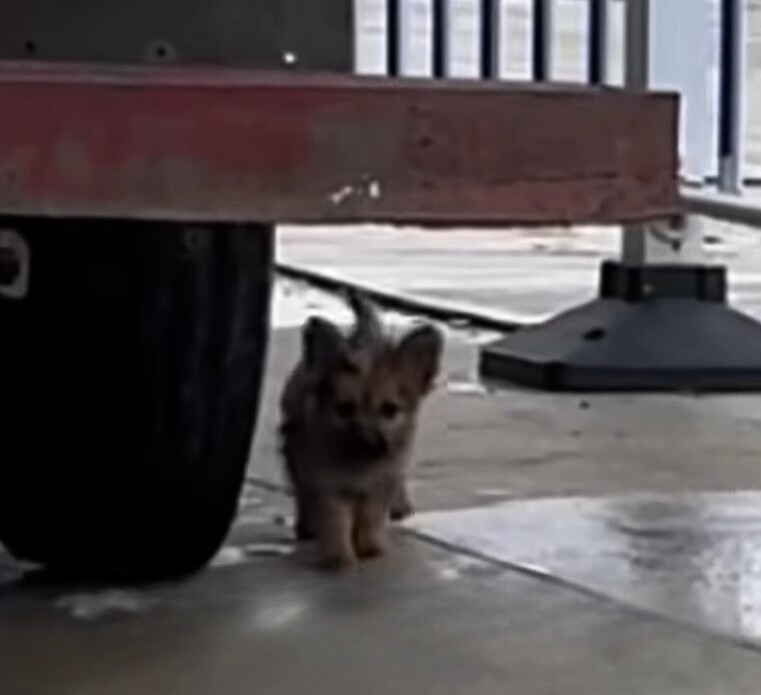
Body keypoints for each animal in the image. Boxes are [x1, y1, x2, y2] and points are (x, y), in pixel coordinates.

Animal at [280, 294, 442, 572]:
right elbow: (335, 518)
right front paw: (339, 556)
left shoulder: (381, 480)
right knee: (302, 492)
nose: (366, 440)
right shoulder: (325, 482)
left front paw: (368, 546)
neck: (360, 466)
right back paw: (306, 525)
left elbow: (370, 515)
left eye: (389, 410)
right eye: (344, 409)